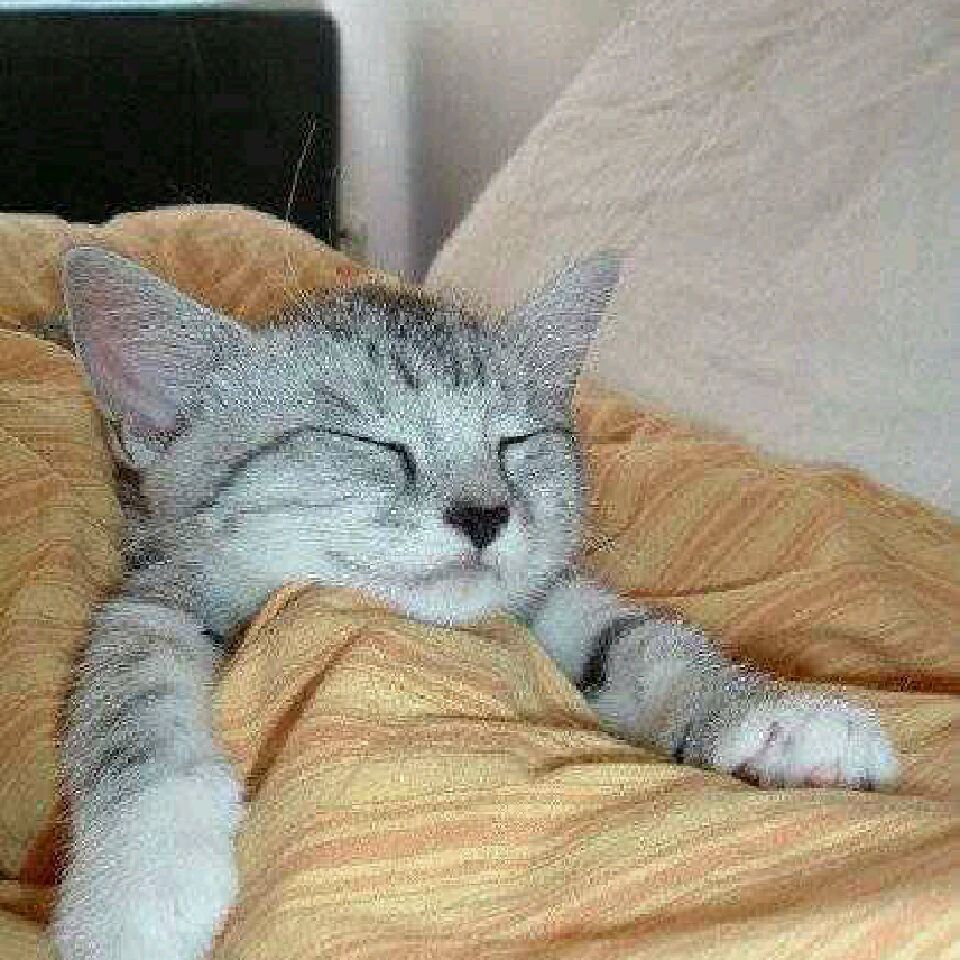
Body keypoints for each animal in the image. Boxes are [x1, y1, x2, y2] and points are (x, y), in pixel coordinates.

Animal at [53, 247, 898, 960]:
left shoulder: (544, 600)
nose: (485, 513)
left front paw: (773, 715)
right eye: (373, 443)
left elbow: (645, 638)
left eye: (514, 441)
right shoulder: (151, 594)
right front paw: (139, 884)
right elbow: (131, 704)